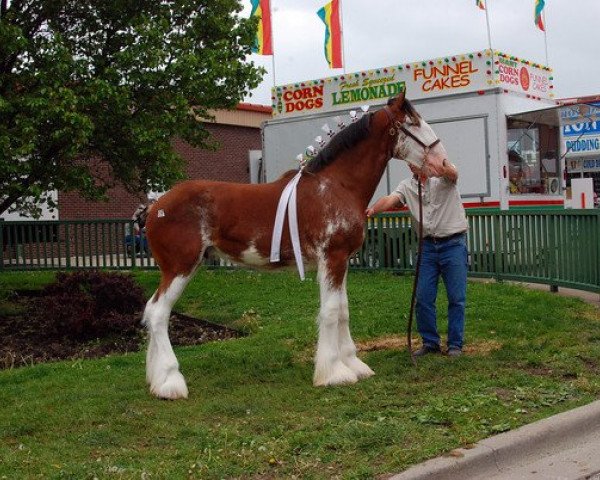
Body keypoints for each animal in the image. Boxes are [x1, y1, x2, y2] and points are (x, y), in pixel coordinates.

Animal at [143, 92, 448, 400]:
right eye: (413, 123)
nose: (443, 162)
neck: (337, 185)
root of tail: (156, 205)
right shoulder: (333, 258)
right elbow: (331, 312)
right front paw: (334, 373)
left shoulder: (342, 262)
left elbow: (344, 310)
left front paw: (354, 364)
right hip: (180, 268)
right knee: (158, 314)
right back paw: (170, 381)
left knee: (152, 310)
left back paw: (157, 381)